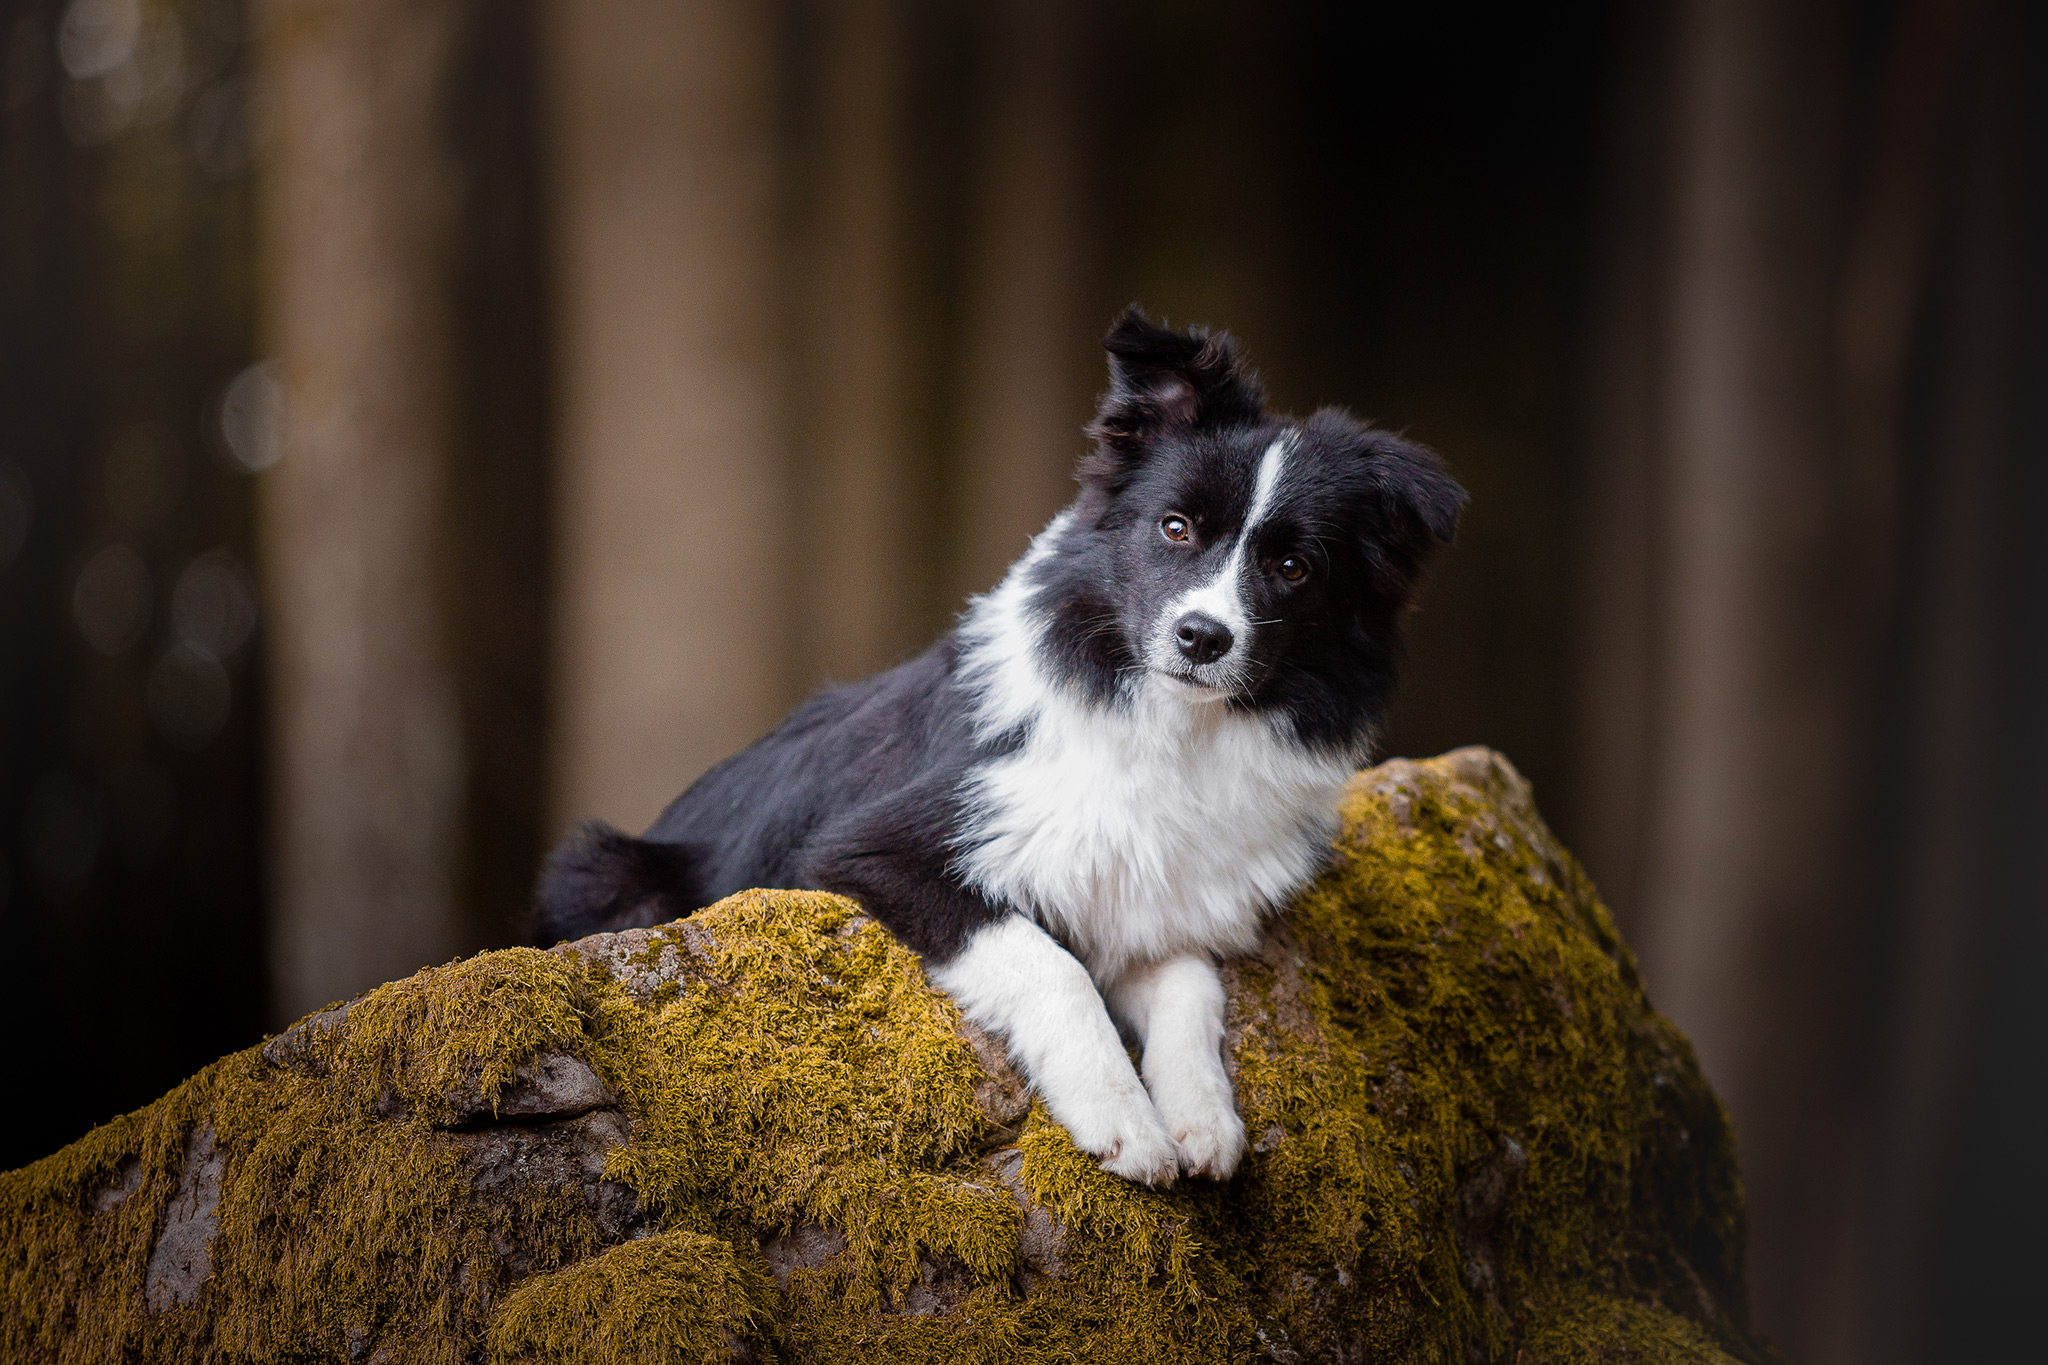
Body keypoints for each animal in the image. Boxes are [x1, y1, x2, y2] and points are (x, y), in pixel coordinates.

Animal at [536, 309, 1466, 1186]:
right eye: (1175, 528)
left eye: (1294, 567)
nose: (1203, 637)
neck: (1169, 725)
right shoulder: (865, 849)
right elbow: (1049, 963)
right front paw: (1122, 1118)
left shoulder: (1143, 902)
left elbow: (1191, 981)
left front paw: (1202, 1117)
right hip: (608, 871)